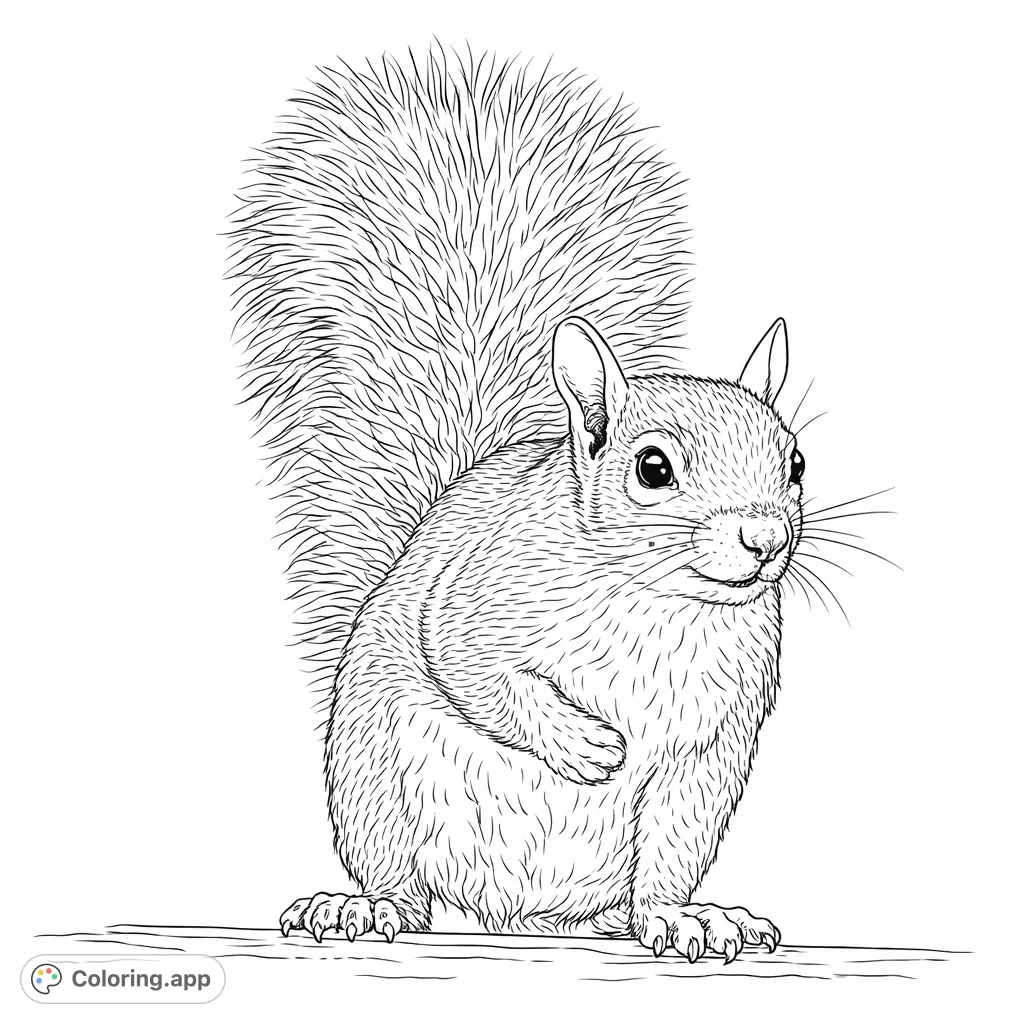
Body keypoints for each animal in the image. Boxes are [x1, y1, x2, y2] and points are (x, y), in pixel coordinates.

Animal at [227, 46, 803, 960]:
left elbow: (673, 845)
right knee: (400, 879)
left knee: (639, 888)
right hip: (374, 781)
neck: (660, 606)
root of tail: (515, 909)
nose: (764, 539)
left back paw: (670, 916)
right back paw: (363, 907)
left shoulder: (708, 744)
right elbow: (473, 665)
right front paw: (584, 743)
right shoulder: (481, 594)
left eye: (797, 463)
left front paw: (683, 916)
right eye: (652, 468)